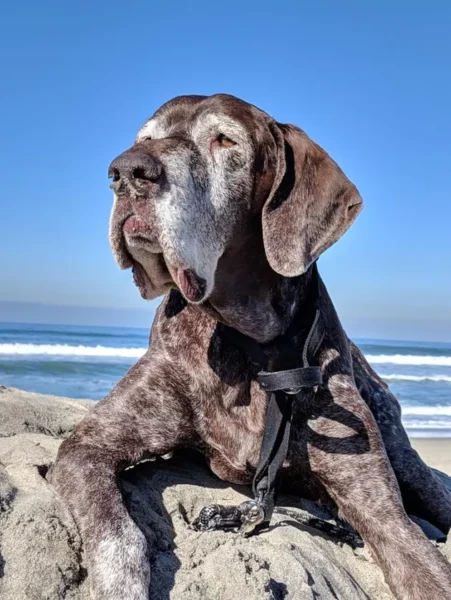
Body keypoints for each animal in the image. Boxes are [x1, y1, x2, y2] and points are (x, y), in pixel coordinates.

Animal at [51, 95, 451, 600]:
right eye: (145, 138)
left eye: (225, 140)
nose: (125, 171)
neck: (250, 345)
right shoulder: (87, 448)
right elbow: (119, 536)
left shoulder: (383, 514)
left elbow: (422, 563)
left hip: (407, 459)